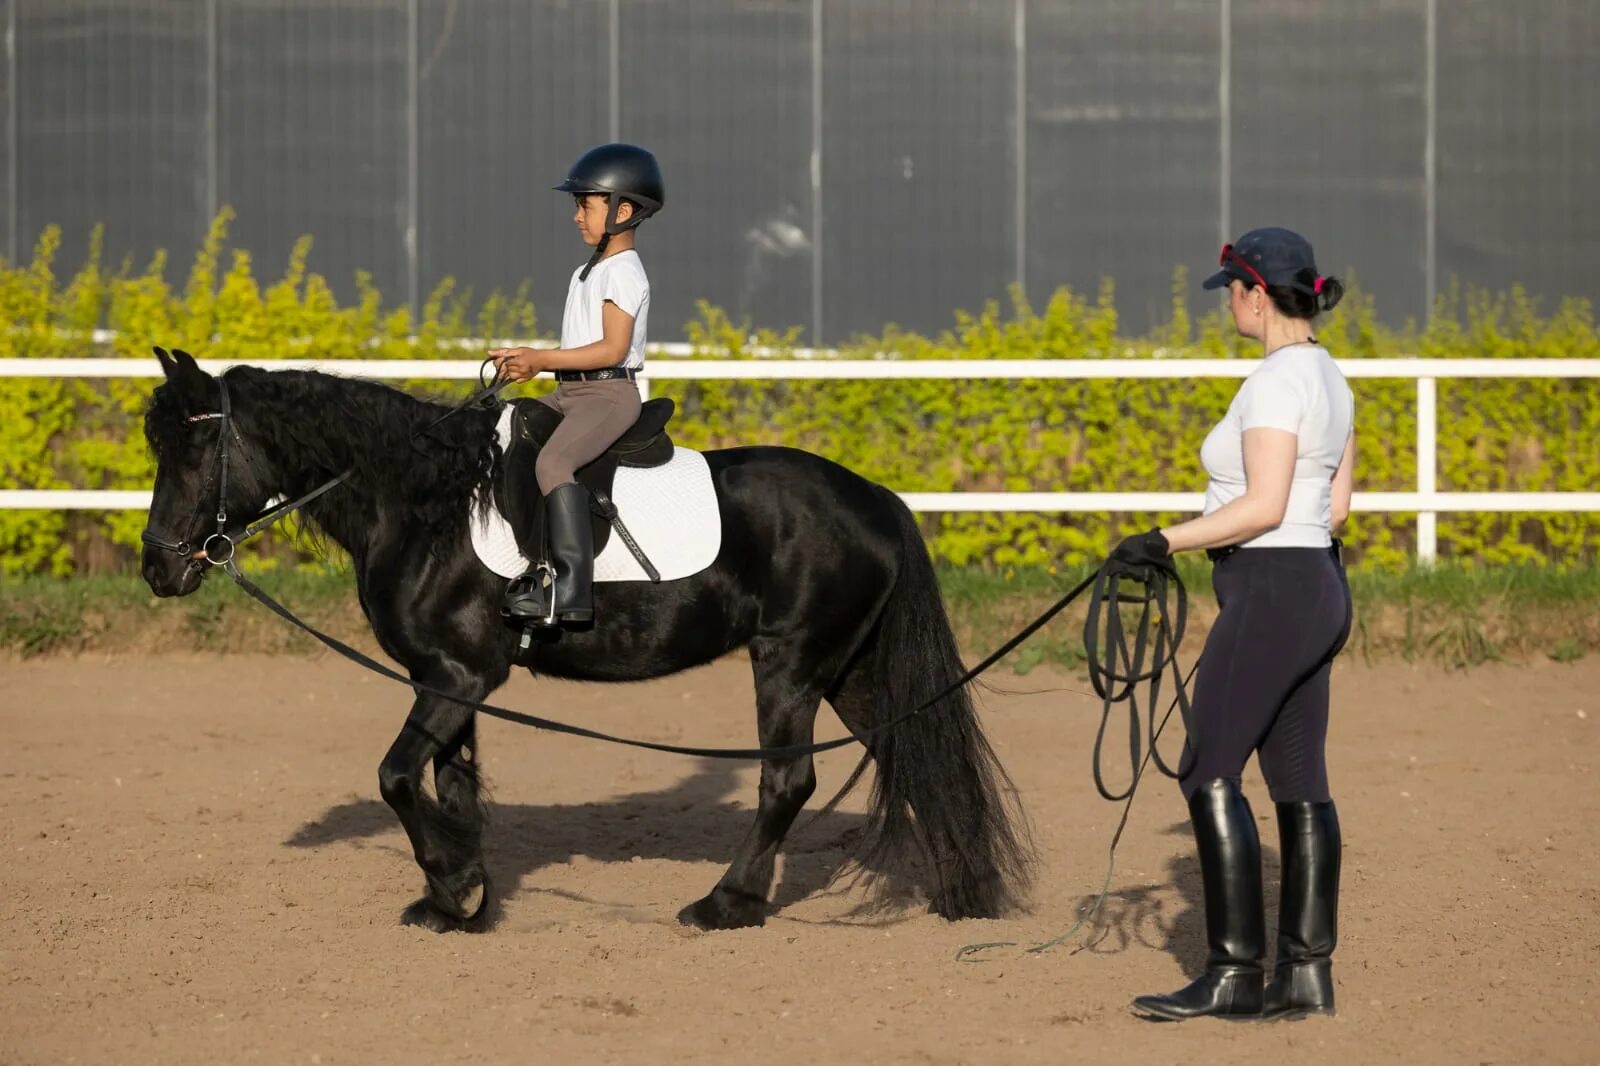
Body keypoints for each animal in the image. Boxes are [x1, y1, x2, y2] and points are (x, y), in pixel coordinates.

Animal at [140, 350, 1036, 928]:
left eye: (197, 444)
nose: (159, 567)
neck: (424, 502)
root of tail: (878, 498)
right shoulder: (447, 679)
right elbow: (450, 783)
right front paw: (457, 898)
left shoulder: (458, 676)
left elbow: (396, 777)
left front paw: (454, 880)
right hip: (849, 671)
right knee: (915, 753)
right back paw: (961, 892)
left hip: (790, 665)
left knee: (790, 781)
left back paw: (726, 905)